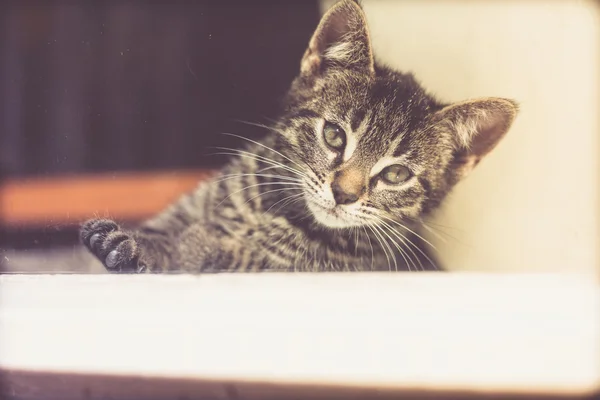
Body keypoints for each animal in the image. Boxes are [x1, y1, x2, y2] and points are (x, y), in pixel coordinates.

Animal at [81, 0, 520, 274]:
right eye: (334, 135)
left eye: (396, 175)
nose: (344, 194)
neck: (272, 210)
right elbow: (162, 230)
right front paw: (136, 243)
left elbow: (227, 255)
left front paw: (188, 246)